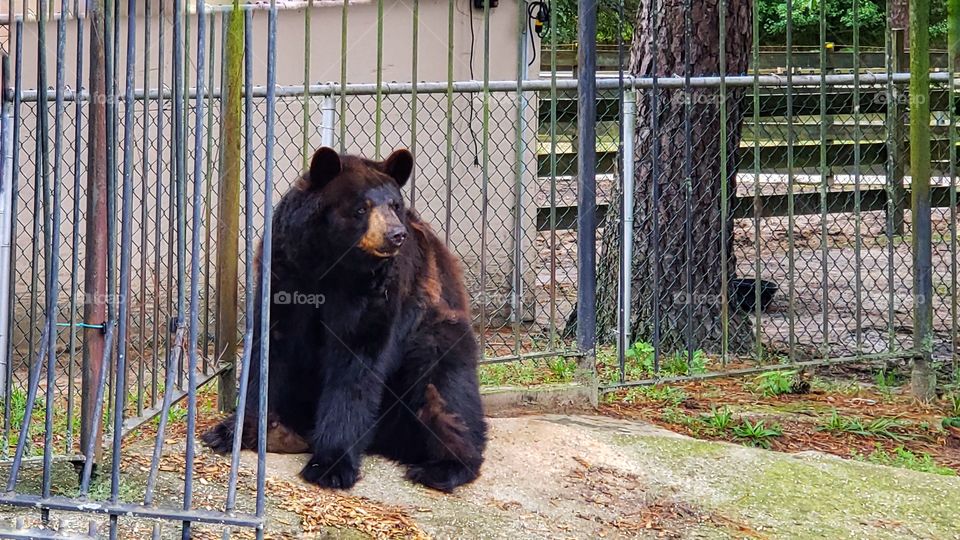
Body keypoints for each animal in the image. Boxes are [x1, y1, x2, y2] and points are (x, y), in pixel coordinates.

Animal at [201, 146, 487, 493]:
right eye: (362, 207)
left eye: (395, 205)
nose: (396, 235)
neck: (332, 264)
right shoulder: (286, 272)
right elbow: (271, 350)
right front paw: (231, 430)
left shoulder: (377, 291)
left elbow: (356, 362)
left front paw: (331, 465)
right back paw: (284, 432)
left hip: (436, 335)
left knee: (447, 393)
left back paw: (443, 466)